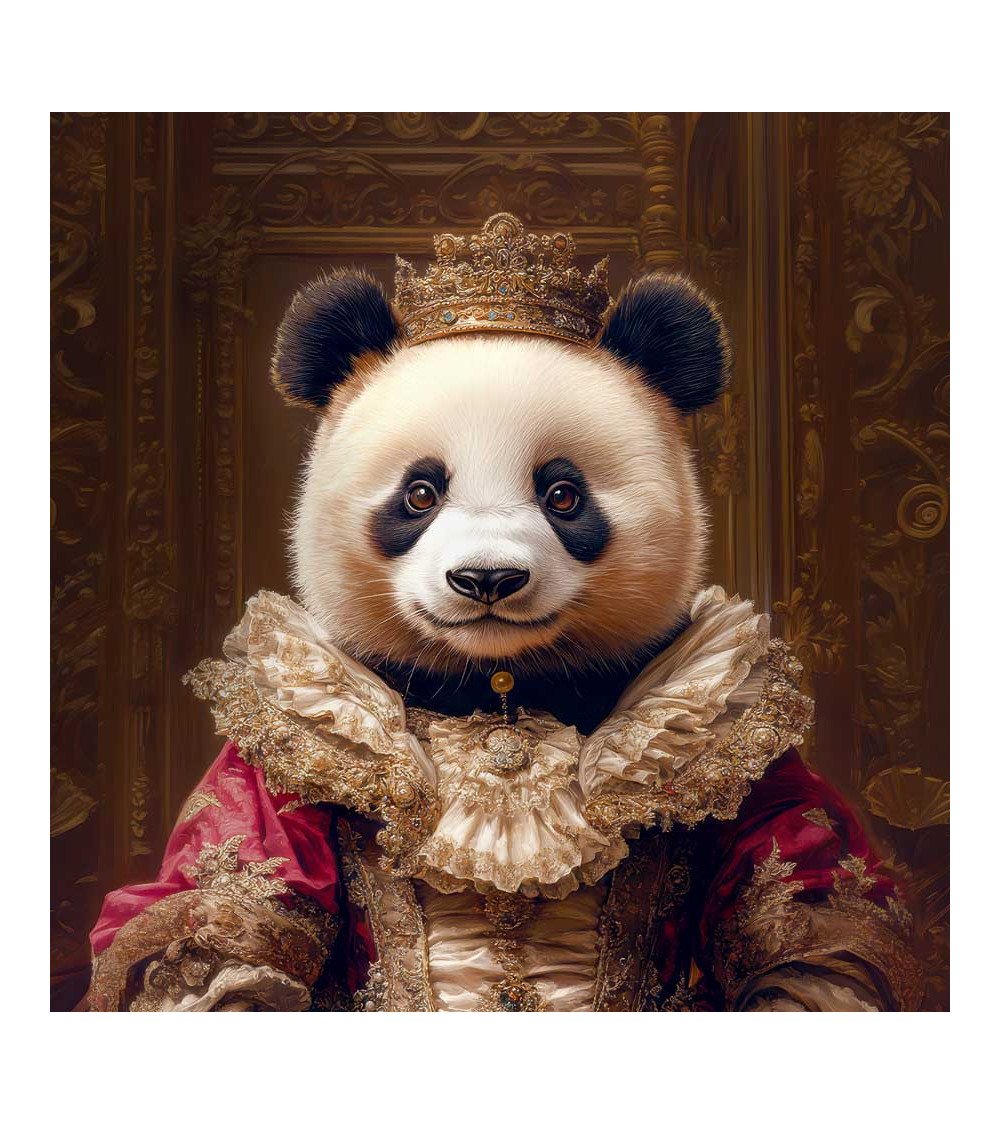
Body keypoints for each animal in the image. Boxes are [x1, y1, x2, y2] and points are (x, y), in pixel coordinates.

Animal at [87, 214, 921, 1013]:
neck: (500, 689)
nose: (486, 577)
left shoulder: (754, 751)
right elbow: (220, 916)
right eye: (421, 493)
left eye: (563, 494)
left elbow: (812, 919)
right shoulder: (271, 757)